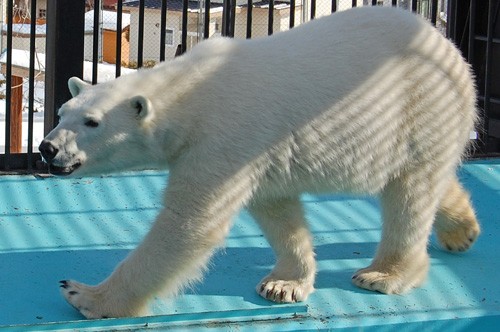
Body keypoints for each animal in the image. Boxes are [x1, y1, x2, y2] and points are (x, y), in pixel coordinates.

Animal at [40, 7, 480, 320]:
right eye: (61, 113)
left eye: (92, 122)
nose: (47, 148)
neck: (191, 92)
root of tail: (448, 46)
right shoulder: (260, 151)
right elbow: (276, 208)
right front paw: (284, 284)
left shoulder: (223, 137)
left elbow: (189, 224)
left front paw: (84, 294)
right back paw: (462, 230)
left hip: (419, 109)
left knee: (410, 193)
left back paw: (384, 273)